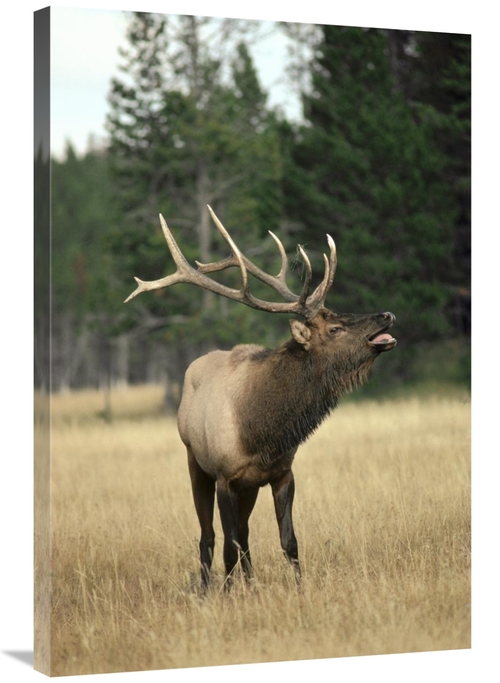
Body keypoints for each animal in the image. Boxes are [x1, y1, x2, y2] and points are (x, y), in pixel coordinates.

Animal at [125, 206, 397, 589]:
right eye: (335, 328)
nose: (386, 314)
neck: (261, 431)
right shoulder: (225, 477)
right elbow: (229, 544)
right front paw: (228, 593)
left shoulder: (281, 473)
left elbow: (288, 541)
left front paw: (298, 588)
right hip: (195, 462)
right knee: (209, 536)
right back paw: (208, 586)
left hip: (249, 486)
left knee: (245, 533)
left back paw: (249, 583)